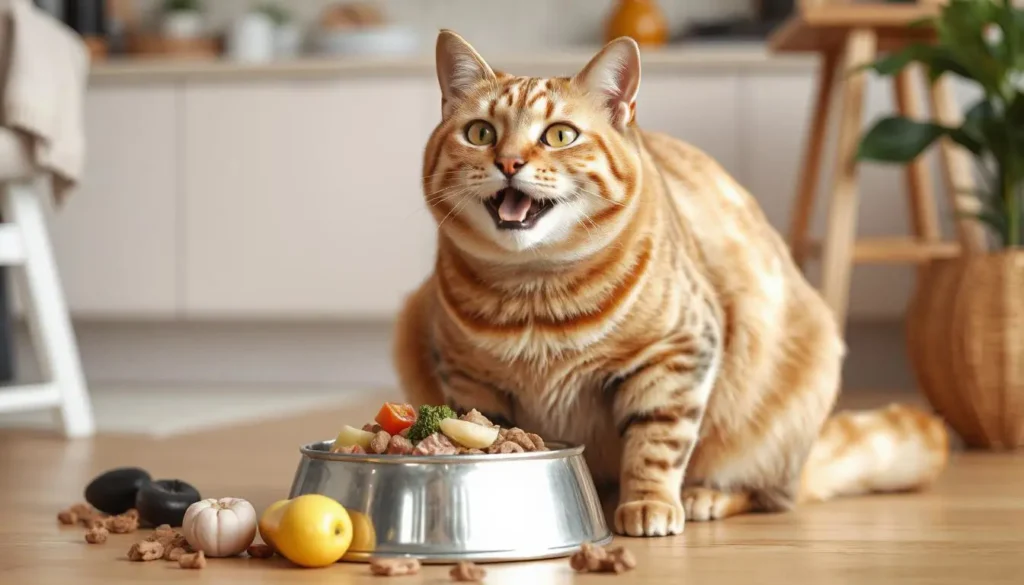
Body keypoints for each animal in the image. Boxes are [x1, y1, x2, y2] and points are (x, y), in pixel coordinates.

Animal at [393, 30, 950, 536]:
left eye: (559, 135)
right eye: (481, 133)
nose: (508, 162)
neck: (535, 293)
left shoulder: (676, 355)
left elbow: (657, 441)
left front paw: (648, 503)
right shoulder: (468, 376)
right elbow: (483, 427)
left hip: (792, 386)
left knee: (767, 494)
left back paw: (705, 496)